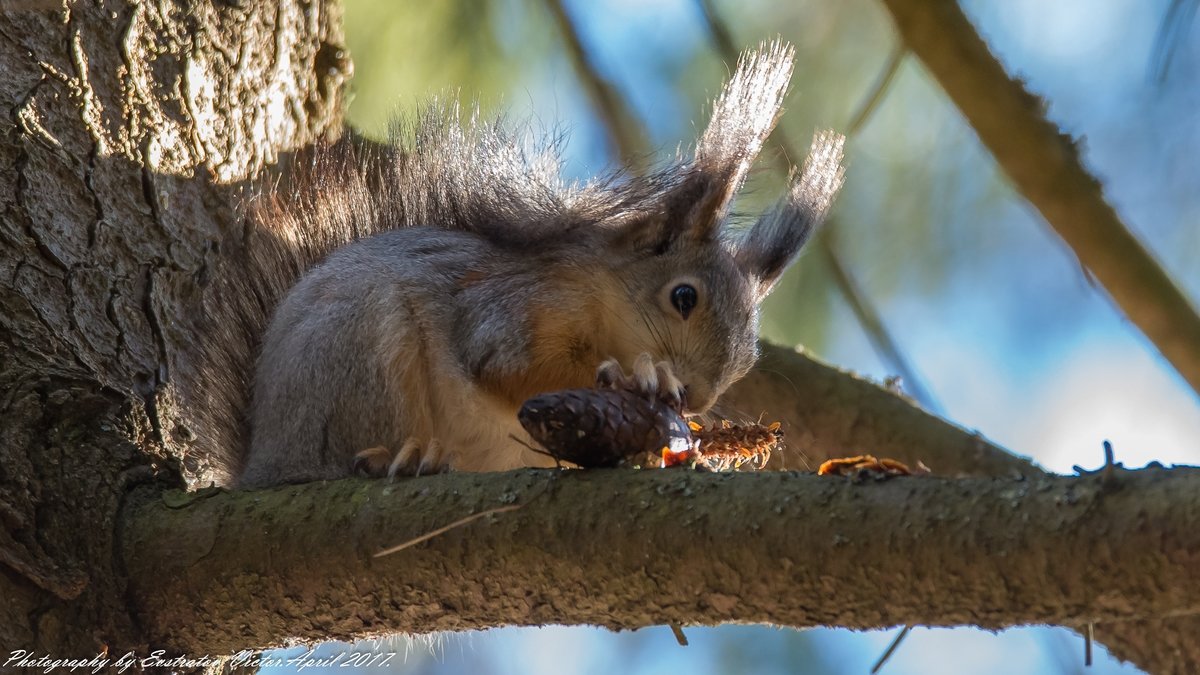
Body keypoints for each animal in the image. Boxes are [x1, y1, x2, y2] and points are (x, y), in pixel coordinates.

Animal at [177, 39, 844, 485]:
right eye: (683, 297)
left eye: (750, 358)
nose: (699, 401)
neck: (601, 300)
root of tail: (262, 461)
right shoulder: (515, 303)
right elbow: (509, 367)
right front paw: (638, 379)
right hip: (360, 354)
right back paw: (399, 457)